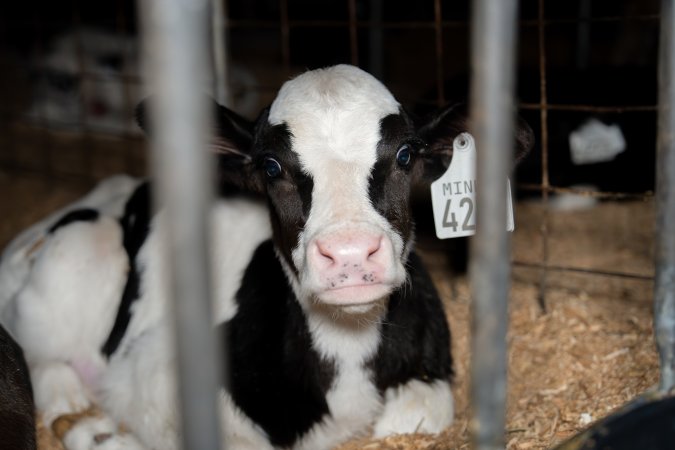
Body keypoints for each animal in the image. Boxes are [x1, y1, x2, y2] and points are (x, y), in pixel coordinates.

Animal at [0, 64, 533, 449]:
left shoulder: (428, 374)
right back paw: (65, 397)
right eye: (272, 167)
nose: (349, 252)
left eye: (405, 155)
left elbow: (418, 415)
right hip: (75, 253)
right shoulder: (153, 377)